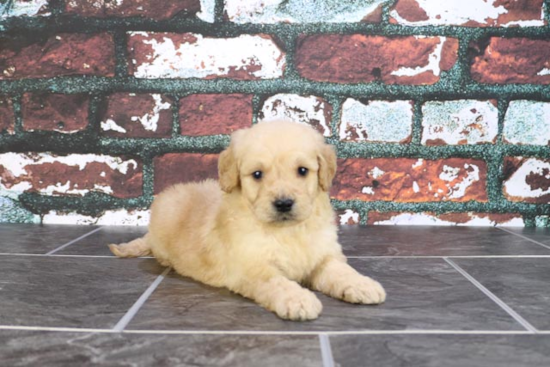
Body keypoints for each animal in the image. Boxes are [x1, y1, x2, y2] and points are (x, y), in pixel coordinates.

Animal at [110, 121, 388, 322]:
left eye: (302, 171)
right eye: (257, 174)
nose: (284, 203)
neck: (288, 231)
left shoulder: (324, 256)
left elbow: (341, 270)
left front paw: (362, 284)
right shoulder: (252, 267)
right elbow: (277, 282)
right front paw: (298, 300)